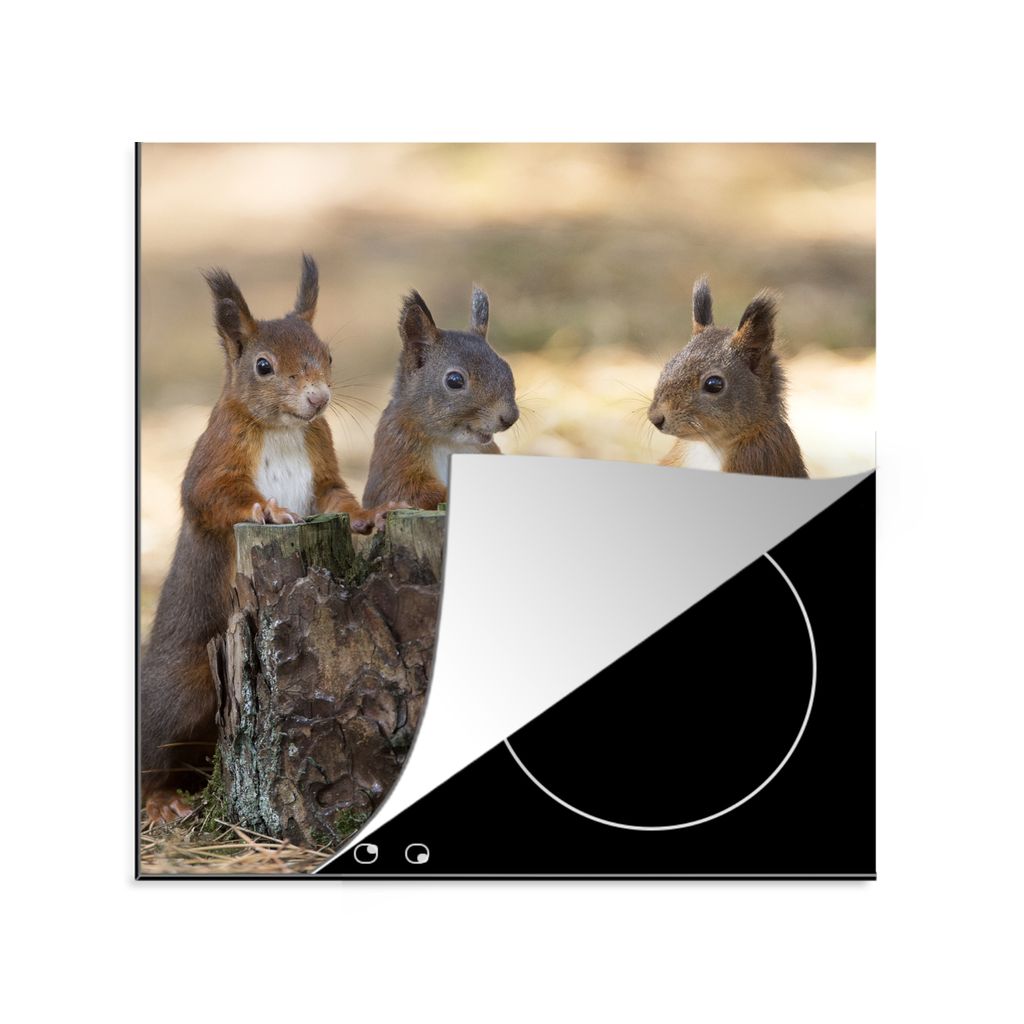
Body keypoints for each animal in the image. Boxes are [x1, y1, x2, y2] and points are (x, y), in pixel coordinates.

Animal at [141, 255, 395, 824]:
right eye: (262, 366)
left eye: (328, 354)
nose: (318, 398)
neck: (281, 429)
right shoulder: (214, 460)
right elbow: (211, 496)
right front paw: (270, 510)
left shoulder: (322, 468)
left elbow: (337, 500)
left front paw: (370, 515)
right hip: (182, 689)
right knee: (153, 748)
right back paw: (161, 800)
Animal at [362, 287, 519, 510]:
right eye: (454, 380)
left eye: (506, 367)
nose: (510, 417)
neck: (451, 443)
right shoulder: (395, 458)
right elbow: (408, 493)